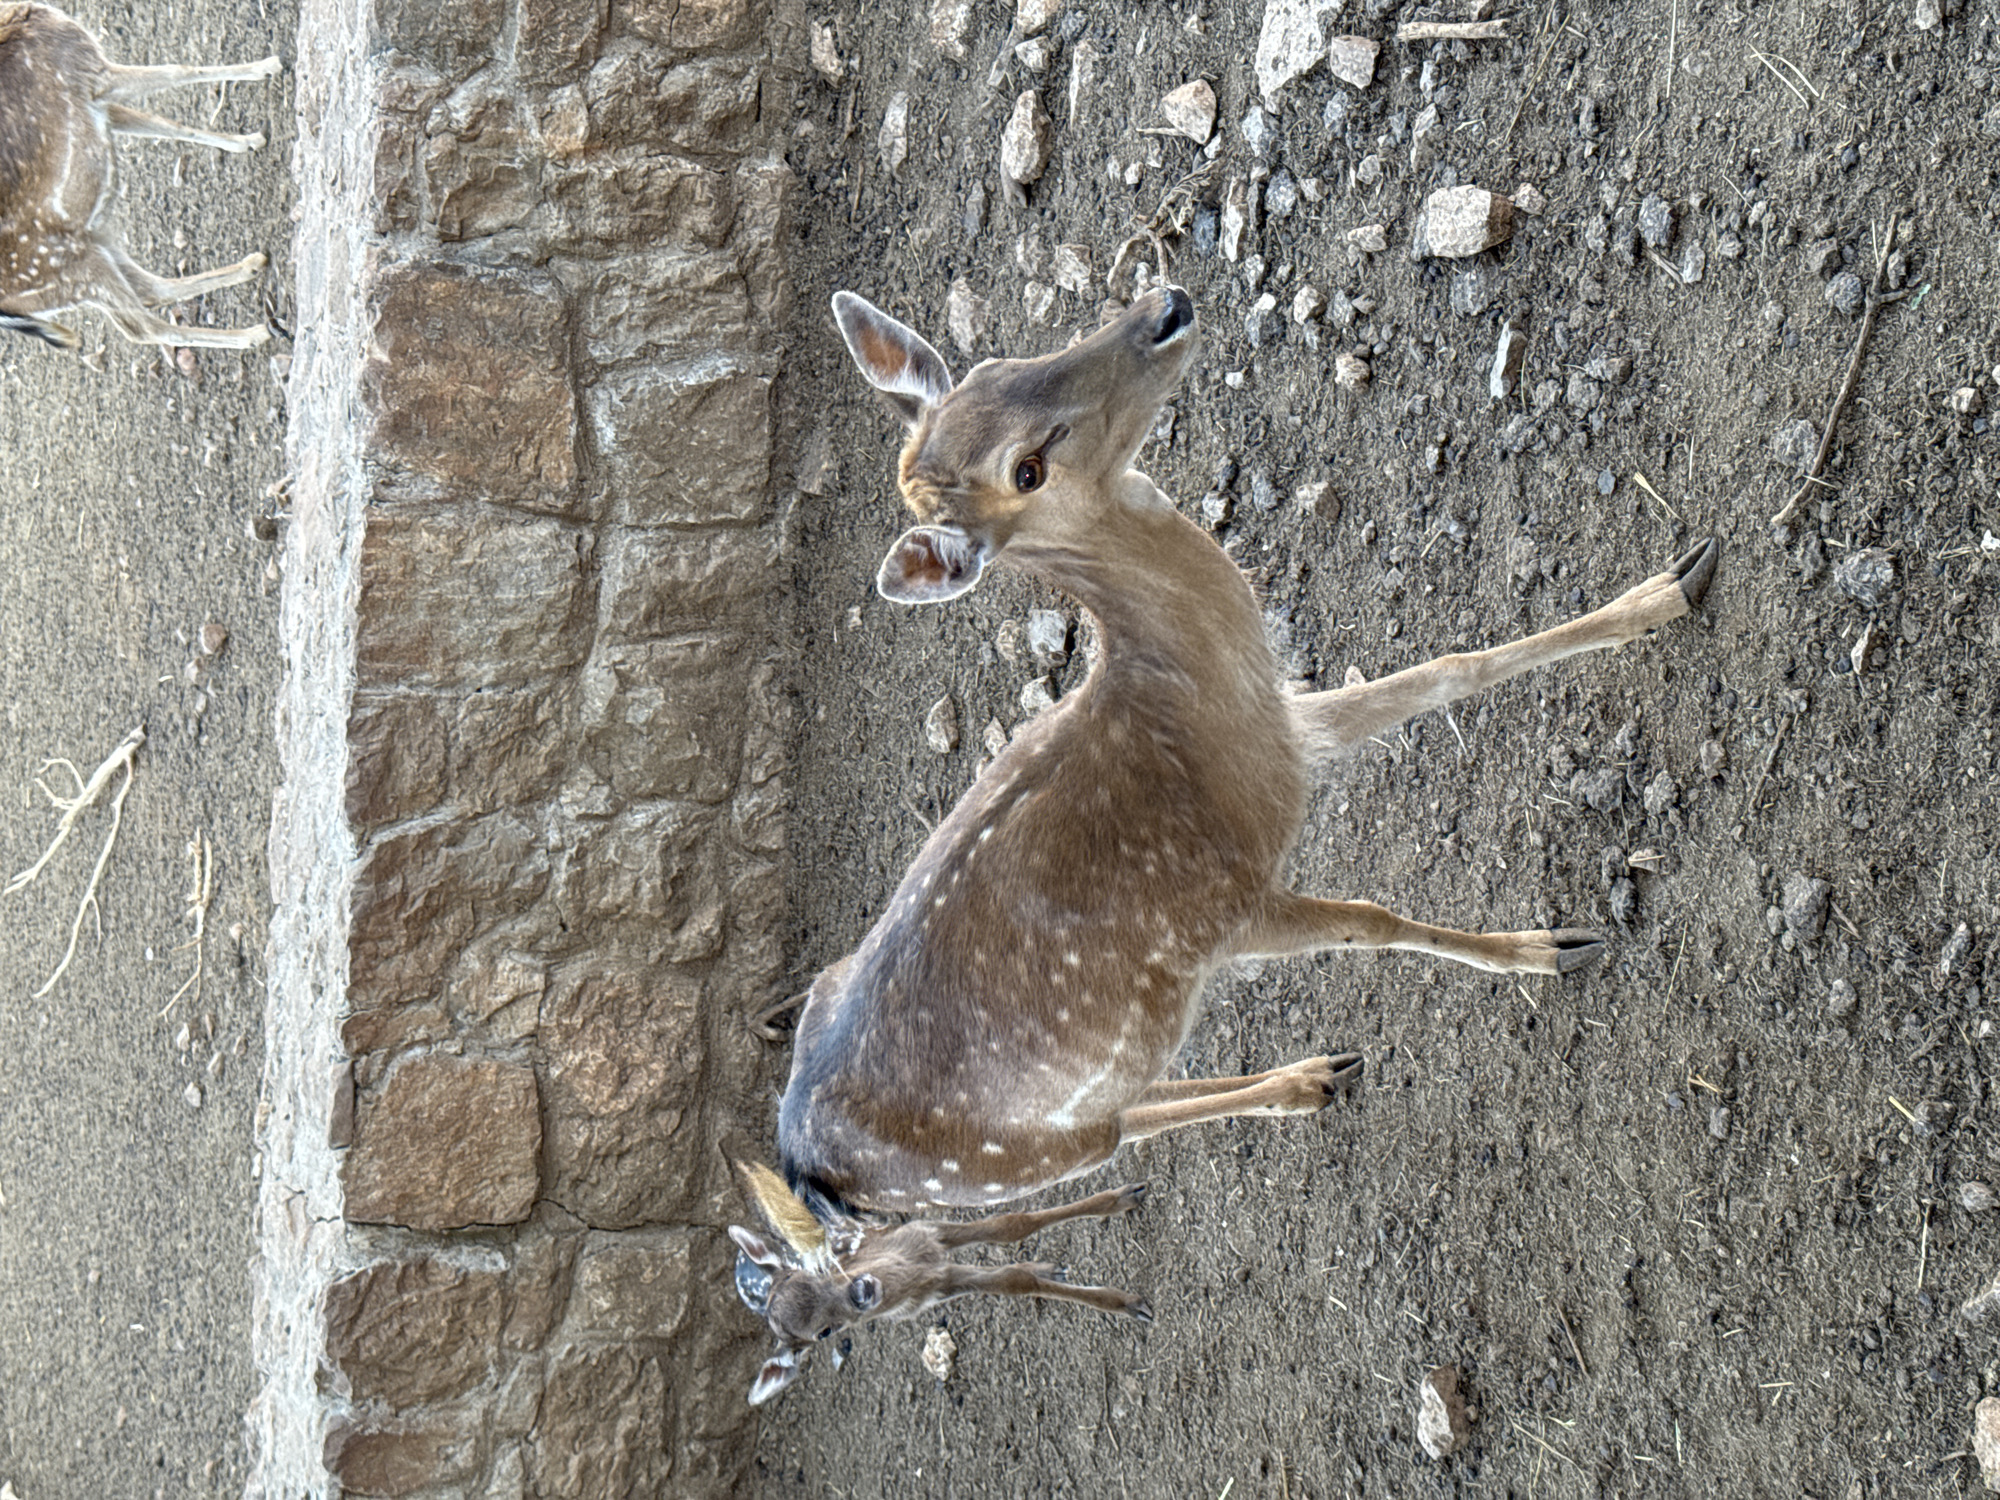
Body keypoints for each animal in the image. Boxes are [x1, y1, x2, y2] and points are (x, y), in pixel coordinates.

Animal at [0, 3, 279, 351]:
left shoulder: (94, 98)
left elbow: (167, 125)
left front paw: (248, 141)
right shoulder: (93, 72)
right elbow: (177, 70)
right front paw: (268, 65)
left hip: (91, 243)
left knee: (150, 291)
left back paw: (253, 264)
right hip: (65, 267)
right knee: (143, 328)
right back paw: (254, 333)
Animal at [730, 283, 1718, 1403]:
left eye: (998, 365)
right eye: (1026, 470)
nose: (1163, 306)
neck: (1195, 705)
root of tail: (809, 1177)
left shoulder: (1292, 729)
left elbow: (1447, 669)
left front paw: (1668, 585)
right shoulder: (1227, 903)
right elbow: (1372, 918)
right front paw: (1552, 949)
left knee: (1142, 1096)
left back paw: (1317, 1074)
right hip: (997, 1164)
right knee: (1120, 1133)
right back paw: (1297, 1091)